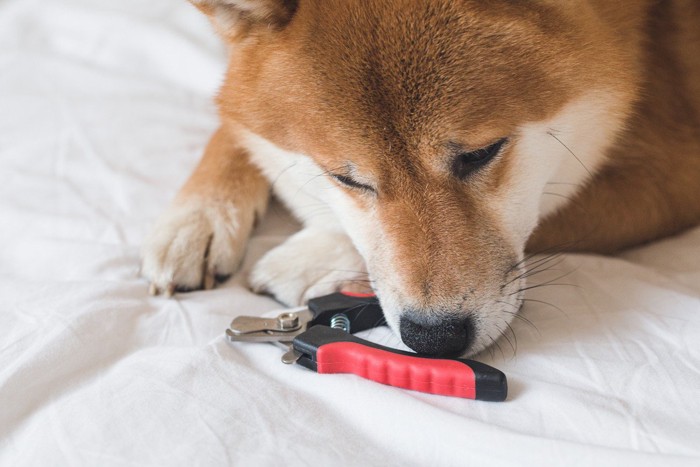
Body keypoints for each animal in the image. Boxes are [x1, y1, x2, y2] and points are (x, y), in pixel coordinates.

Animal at [139, 0, 696, 356]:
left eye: (480, 154)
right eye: (347, 179)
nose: (434, 340)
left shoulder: (670, 175)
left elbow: (553, 210)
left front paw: (313, 257)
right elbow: (232, 120)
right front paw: (197, 219)